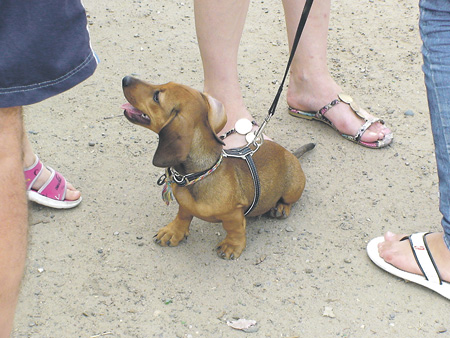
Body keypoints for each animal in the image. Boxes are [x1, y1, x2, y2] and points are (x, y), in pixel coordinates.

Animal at [122, 76, 312, 258]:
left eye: (157, 97)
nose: (125, 79)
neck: (198, 174)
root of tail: (291, 154)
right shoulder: (184, 205)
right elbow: (182, 216)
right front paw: (173, 232)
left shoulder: (233, 215)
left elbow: (234, 230)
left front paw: (232, 246)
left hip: (292, 189)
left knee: (289, 200)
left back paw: (280, 208)